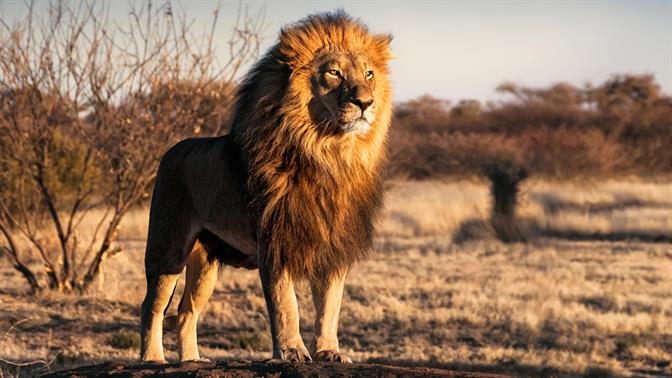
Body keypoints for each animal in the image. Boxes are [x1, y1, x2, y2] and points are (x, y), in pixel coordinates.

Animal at [139, 11, 392, 364]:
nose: (365, 102)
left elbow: (330, 307)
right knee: (152, 306)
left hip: (205, 263)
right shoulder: (275, 242)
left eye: (369, 74)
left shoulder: (333, 246)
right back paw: (152, 359)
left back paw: (192, 360)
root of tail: (172, 150)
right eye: (334, 72)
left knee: (187, 311)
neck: (328, 153)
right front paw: (292, 351)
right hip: (168, 248)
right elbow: (286, 306)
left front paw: (329, 351)